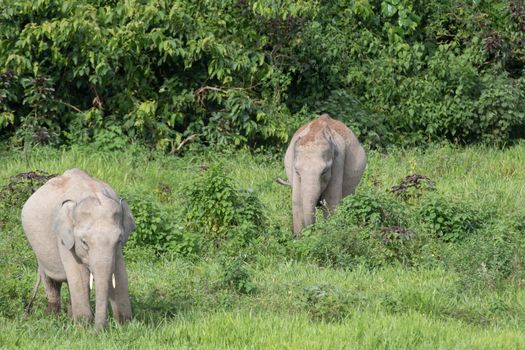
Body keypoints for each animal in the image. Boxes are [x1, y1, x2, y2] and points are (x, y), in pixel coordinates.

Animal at [21, 168, 135, 330]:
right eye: (84, 242)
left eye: (118, 241)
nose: (99, 331)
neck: (94, 193)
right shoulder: (64, 238)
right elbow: (79, 277)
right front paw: (83, 328)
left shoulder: (117, 250)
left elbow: (120, 274)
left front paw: (125, 325)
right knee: (51, 280)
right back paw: (52, 318)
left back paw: (69, 318)